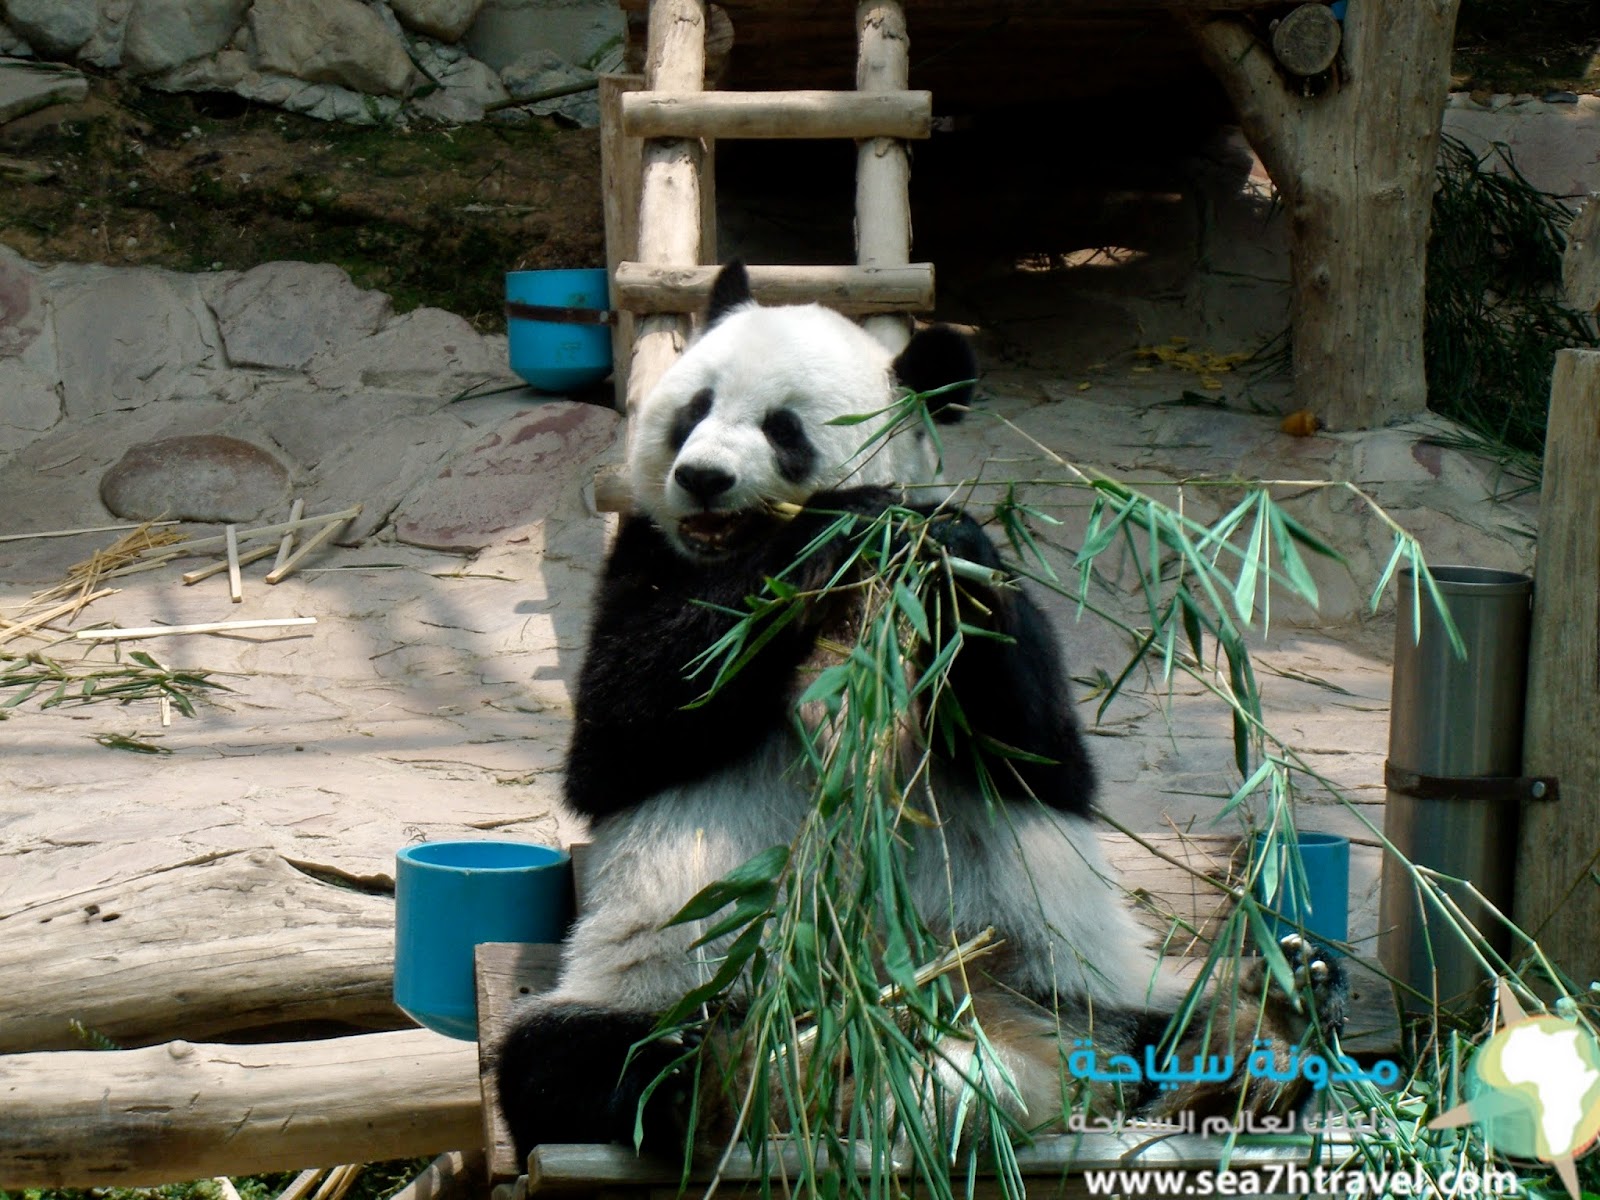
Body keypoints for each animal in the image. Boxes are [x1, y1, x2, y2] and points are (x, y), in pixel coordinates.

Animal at [492, 262, 1344, 1164]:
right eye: (695, 407)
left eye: (783, 429)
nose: (702, 478)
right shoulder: (647, 559)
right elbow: (616, 737)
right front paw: (830, 538)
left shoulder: (986, 606)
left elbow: (1044, 757)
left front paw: (929, 549)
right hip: (663, 978)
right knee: (585, 1061)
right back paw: (727, 1078)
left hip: (1067, 976)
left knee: (1160, 1030)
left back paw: (1272, 1020)